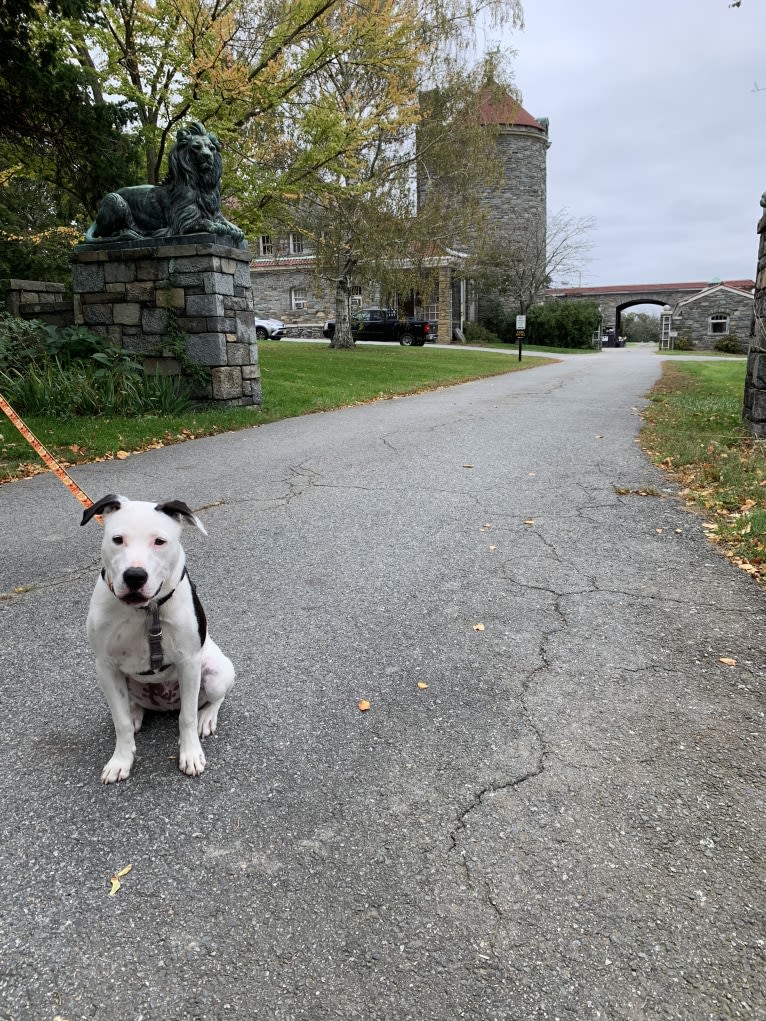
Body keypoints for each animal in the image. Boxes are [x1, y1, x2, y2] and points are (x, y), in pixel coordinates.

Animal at [81, 494, 235, 780]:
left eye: (159, 541)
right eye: (117, 539)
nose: (134, 576)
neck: (147, 610)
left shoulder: (189, 663)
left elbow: (187, 717)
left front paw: (190, 754)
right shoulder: (105, 666)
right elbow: (120, 723)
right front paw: (121, 759)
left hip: (216, 672)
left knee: (211, 700)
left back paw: (207, 717)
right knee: (130, 706)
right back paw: (134, 713)